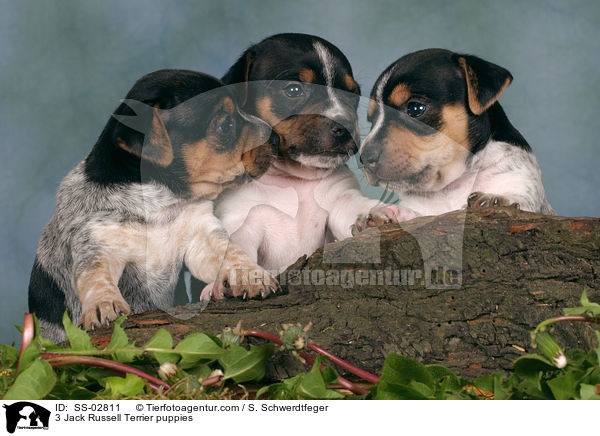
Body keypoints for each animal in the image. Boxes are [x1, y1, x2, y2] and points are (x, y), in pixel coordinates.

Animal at [29, 69, 278, 340]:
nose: (277, 137)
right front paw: (102, 304)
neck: (158, 204)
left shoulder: (201, 236)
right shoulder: (95, 242)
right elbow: (95, 276)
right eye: (225, 125)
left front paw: (251, 274)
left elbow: (231, 251)